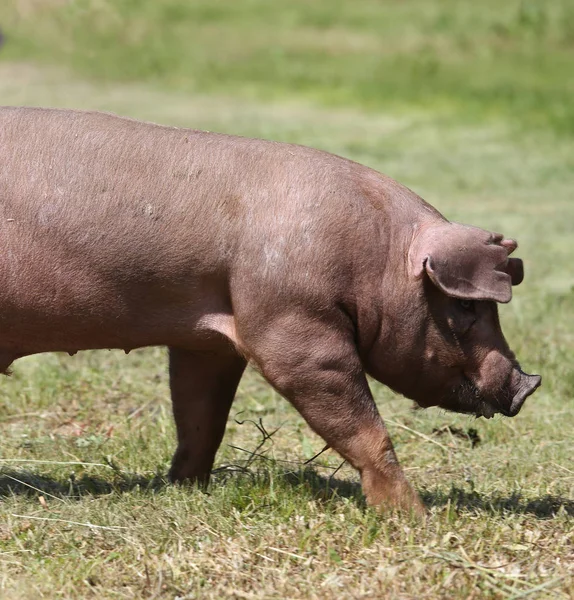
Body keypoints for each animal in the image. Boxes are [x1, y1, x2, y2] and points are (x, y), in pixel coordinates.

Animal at [0, 105, 544, 512]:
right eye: (466, 310)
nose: (528, 384)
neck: (375, 257)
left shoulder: (207, 339)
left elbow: (201, 417)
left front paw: (183, 488)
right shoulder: (291, 326)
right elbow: (360, 424)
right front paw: (413, 517)